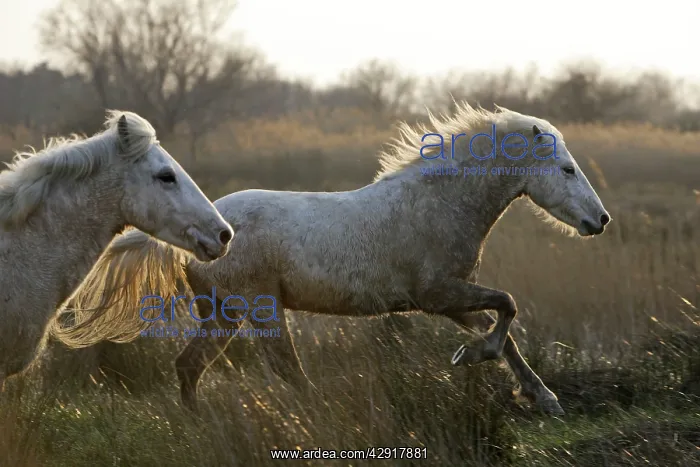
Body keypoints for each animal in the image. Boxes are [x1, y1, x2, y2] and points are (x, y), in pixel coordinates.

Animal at [56, 103, 611, 415]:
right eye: (566, 169)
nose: (600, 220)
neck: (438, 203)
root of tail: (212, 230)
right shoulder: (438, 294)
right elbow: (509, 308)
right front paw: (473, 358)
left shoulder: (451, 300)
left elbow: (507, 331)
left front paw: (543, 399)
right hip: (261, 310)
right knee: (285, 370)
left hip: (224, 315)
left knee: (189, 366)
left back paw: (197, 425)